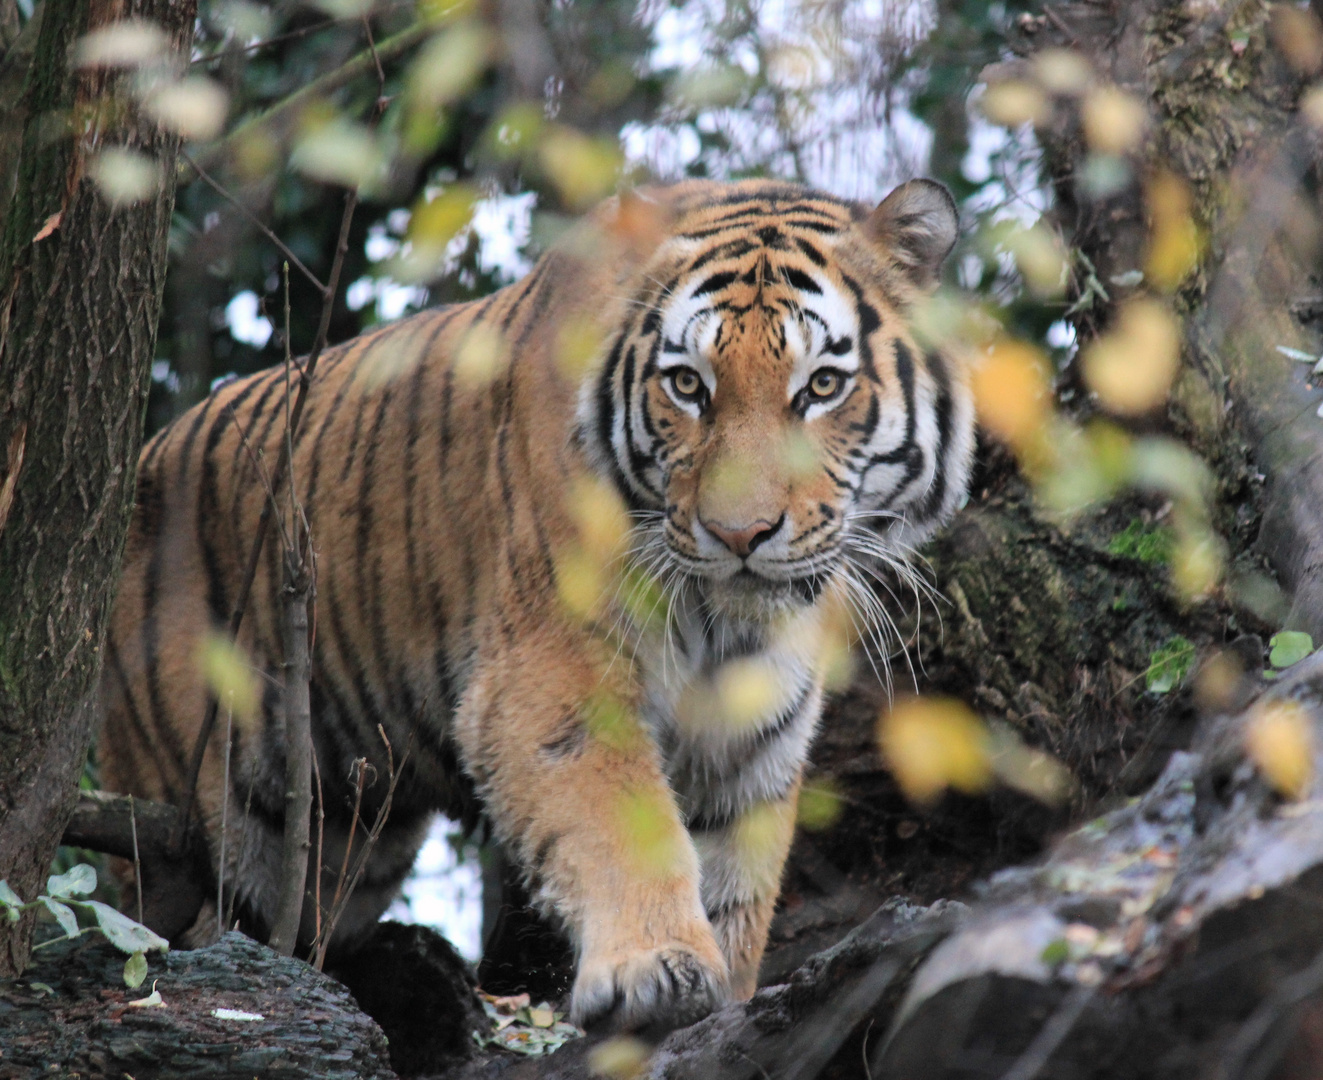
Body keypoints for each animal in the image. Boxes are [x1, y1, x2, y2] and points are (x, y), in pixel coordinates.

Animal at [100, 174, 973, 1027]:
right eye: (687, 385)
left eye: (821, 386)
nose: (739, 534)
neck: (727, 628)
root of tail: (142, 459)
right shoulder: (554, 668)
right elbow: (624, 815)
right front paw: (654, 969)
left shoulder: (753, 733)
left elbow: (738, 877)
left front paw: (726, 992)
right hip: (205, 813)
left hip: (343, 834)